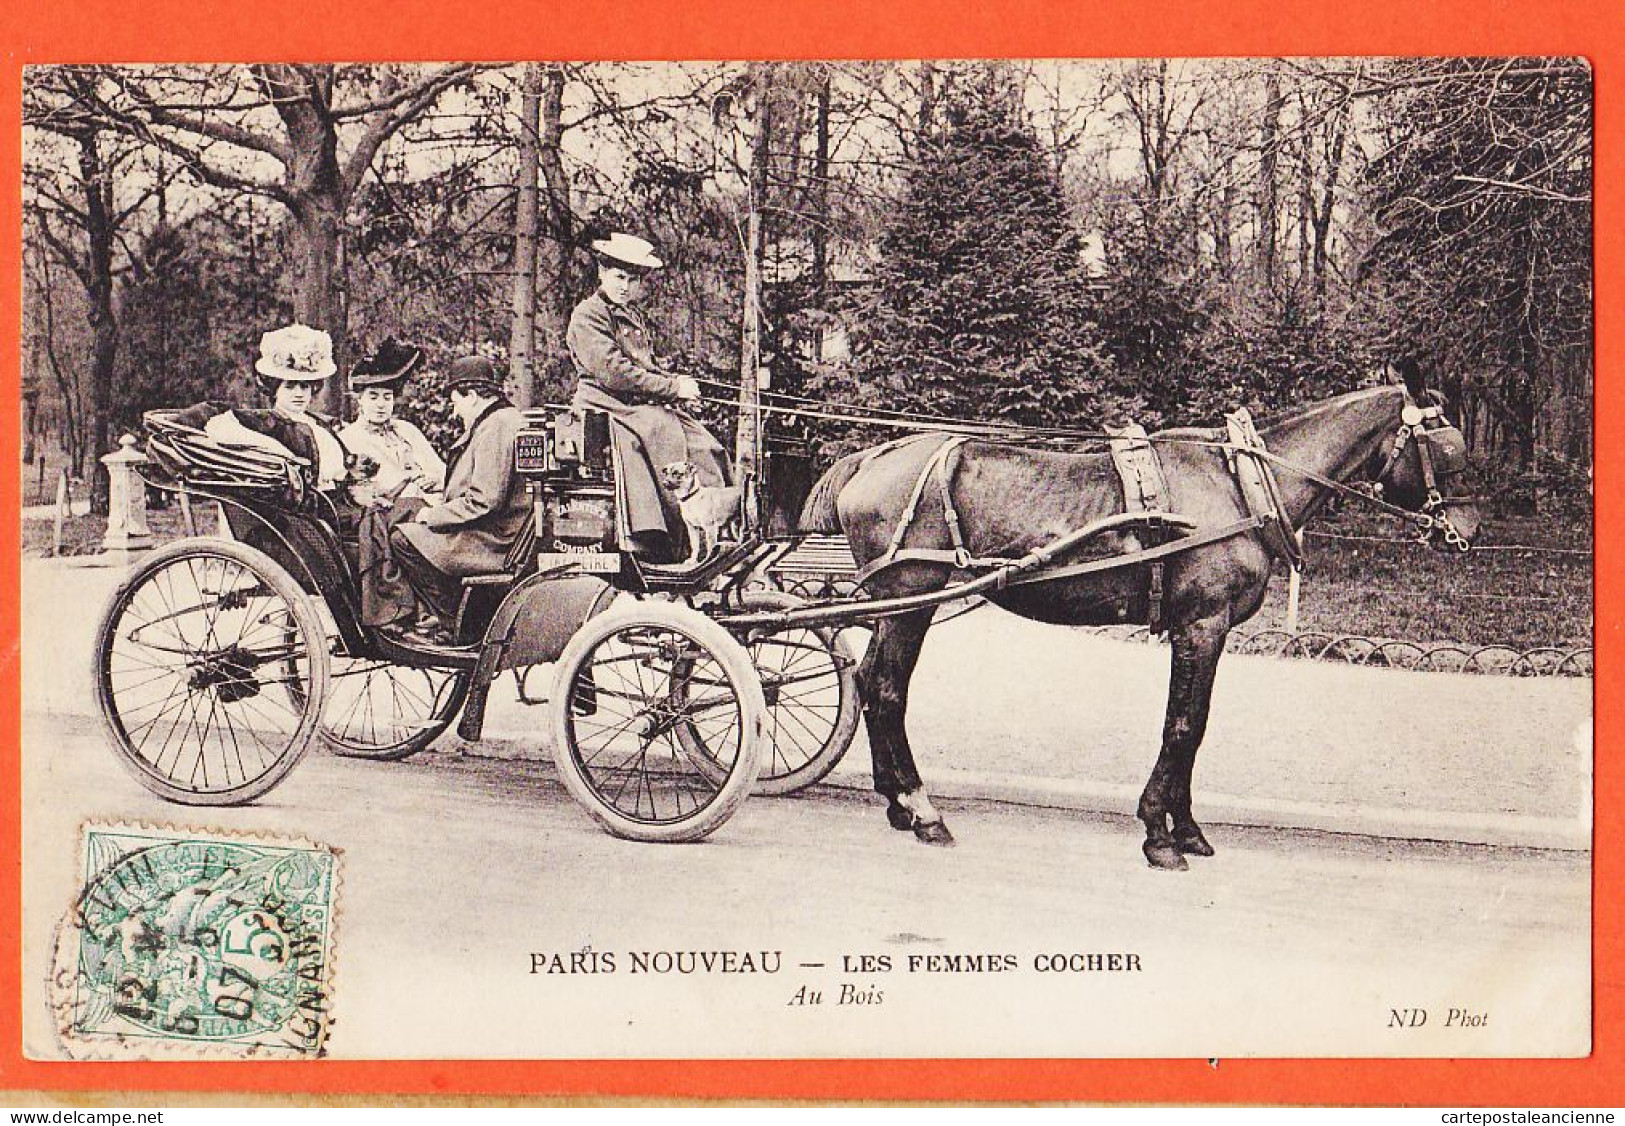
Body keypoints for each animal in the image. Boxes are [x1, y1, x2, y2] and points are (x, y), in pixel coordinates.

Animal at [799, 386, 1488, 870]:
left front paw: (1187, 827)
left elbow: (1193, 724)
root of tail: (871, 457)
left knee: (870, 681)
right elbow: (1184, 725)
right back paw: (922, 810)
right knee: (887, 690)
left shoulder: (1208, 630)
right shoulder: (1202, 625)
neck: (1241, 487)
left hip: (900, 606)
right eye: (1447, 449)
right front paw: (1161, 833)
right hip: (910, 601)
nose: (1469, 529)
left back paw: (896, 801)